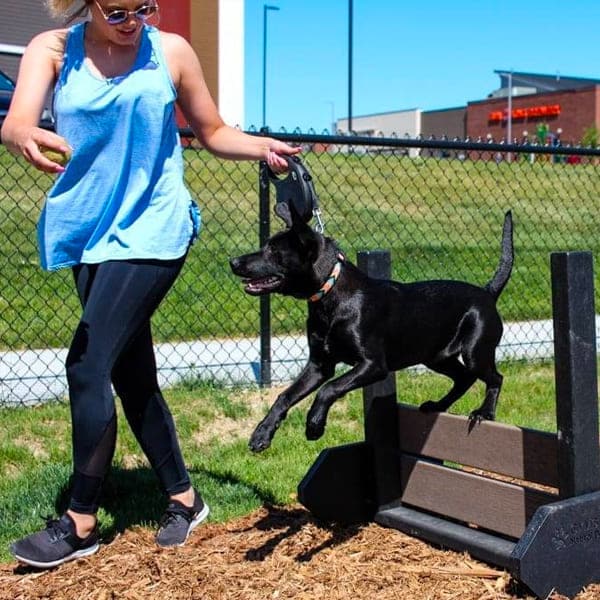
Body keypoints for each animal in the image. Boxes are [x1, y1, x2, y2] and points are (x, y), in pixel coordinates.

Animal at [230, 209, 510, 452]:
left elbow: (330, 388)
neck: (330, 295)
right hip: (436, 357)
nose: (233, 261)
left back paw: (484, 413)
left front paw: (314, 425)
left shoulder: (373, 365)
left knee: (495, 378)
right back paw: (438, 405)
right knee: (464, 378)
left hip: (475, 351)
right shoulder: (319, 366)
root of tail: (487, 293)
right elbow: (284, 396)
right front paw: (261, 434)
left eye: (273, 251)